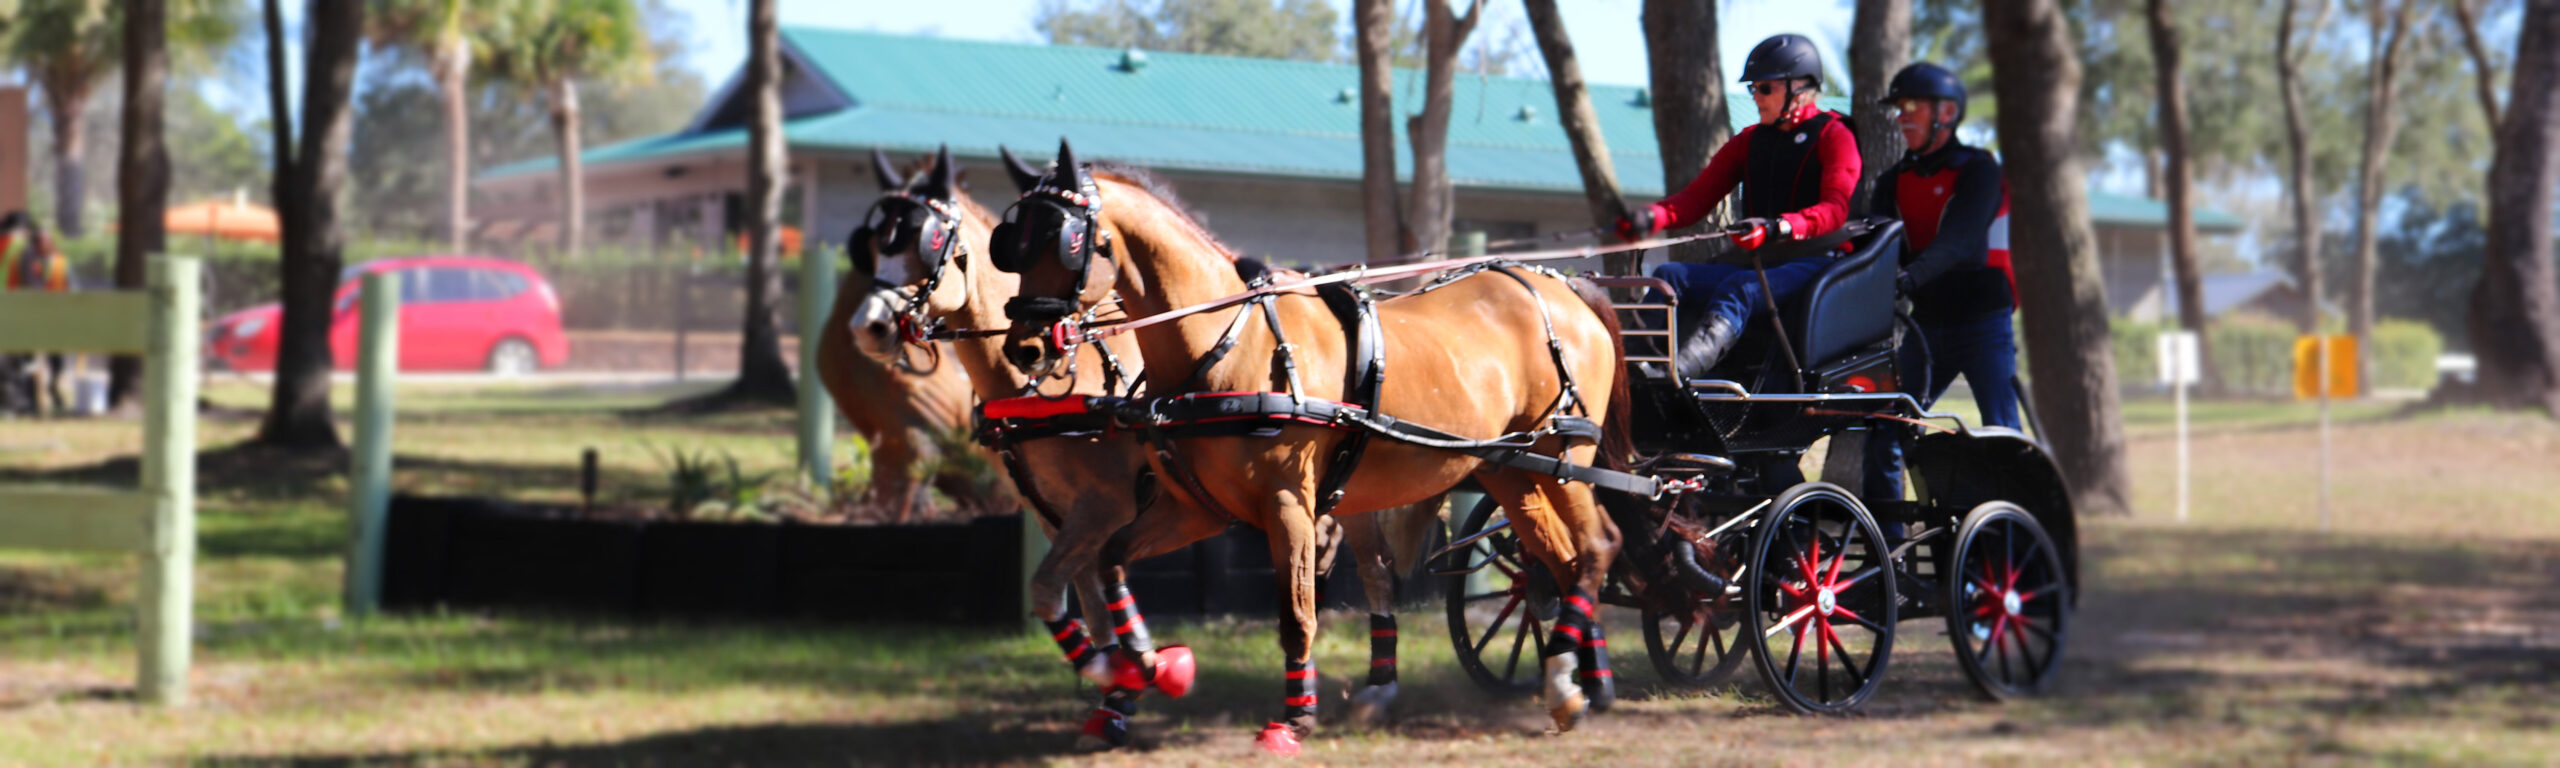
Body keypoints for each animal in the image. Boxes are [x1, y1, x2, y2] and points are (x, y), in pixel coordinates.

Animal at [849, 147, 1454, 752]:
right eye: (875, 241)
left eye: (928, 239)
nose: (868, 327)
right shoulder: (1056, 514)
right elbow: (1080, 597)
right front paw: (1119, 682)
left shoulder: (1105, 503)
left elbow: (1050, 586)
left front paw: (1135, 676)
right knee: (1352, 560)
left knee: (1374, 567)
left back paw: (1374, 687)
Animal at [988, 140, 1628, 752]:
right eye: (1010, 245)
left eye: (1069, 240)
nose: (1025, 348)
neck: (1226, 344)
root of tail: (1562, 286)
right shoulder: (1195, 509)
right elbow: (1113, 559)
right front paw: (1142, 666)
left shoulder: (1288, 502)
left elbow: (1297, 613)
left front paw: (1292, 721)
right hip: (1512, 469)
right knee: (1562, 564)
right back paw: (1575, 685)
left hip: (1565, 458)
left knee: (1598, 545)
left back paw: (1574, 676)